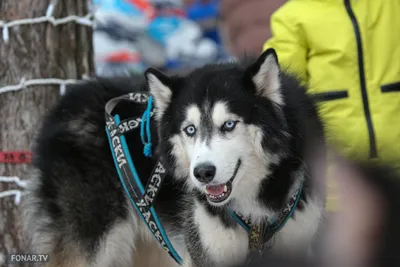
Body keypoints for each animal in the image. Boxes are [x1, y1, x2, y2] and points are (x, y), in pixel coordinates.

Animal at [23, 49, 324, 267]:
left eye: (229, 124)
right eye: (189, 129)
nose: (203, 173)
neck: (255, 208)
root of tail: (66, 103)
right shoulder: (207, 251)